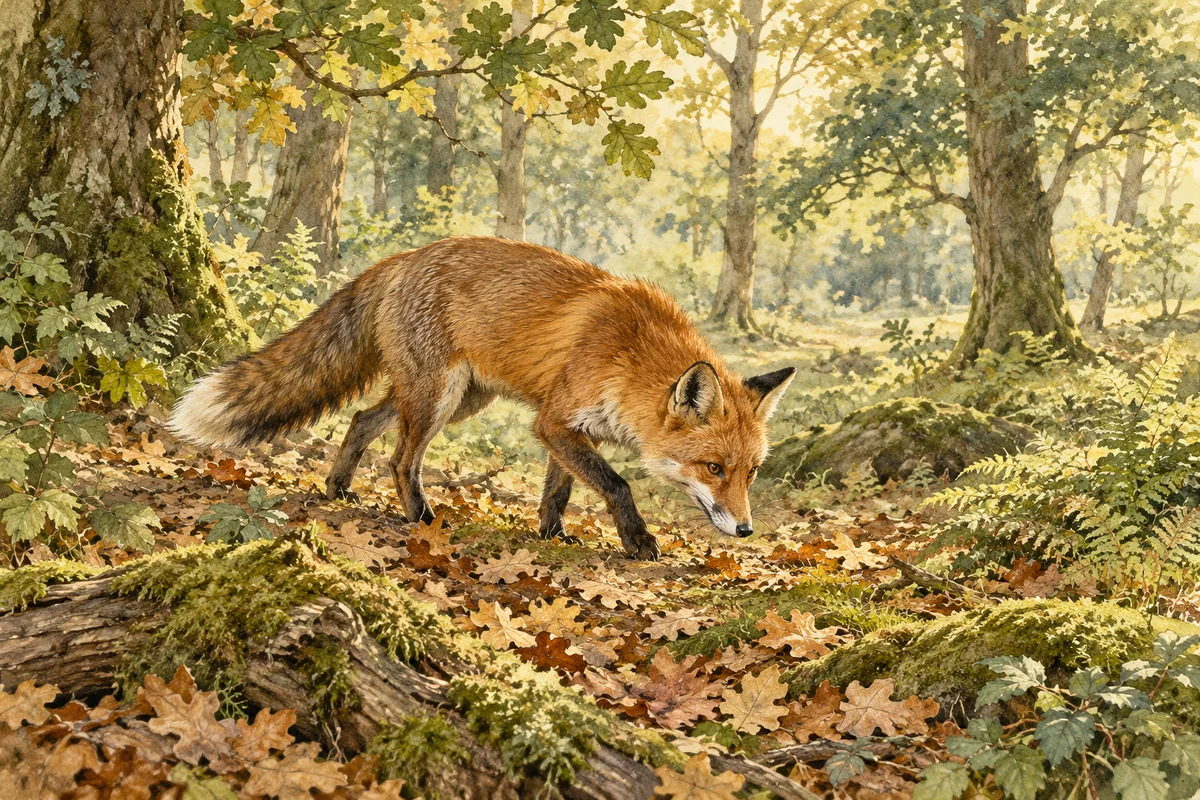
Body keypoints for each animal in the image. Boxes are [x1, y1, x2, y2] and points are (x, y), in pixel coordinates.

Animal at [170, 237, 795, 560]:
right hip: (438, 397)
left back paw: (340, 486)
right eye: (713, 468)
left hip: (456, 398)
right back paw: (420, 517)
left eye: (751, 473)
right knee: (401, 459)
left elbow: (559, 491)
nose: (746, 531)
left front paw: (552, 534)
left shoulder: (566, 428)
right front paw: (637, 540)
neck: (629, 358)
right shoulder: (556, 422)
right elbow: (615, 484)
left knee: (363, 418)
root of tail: (401, 258)